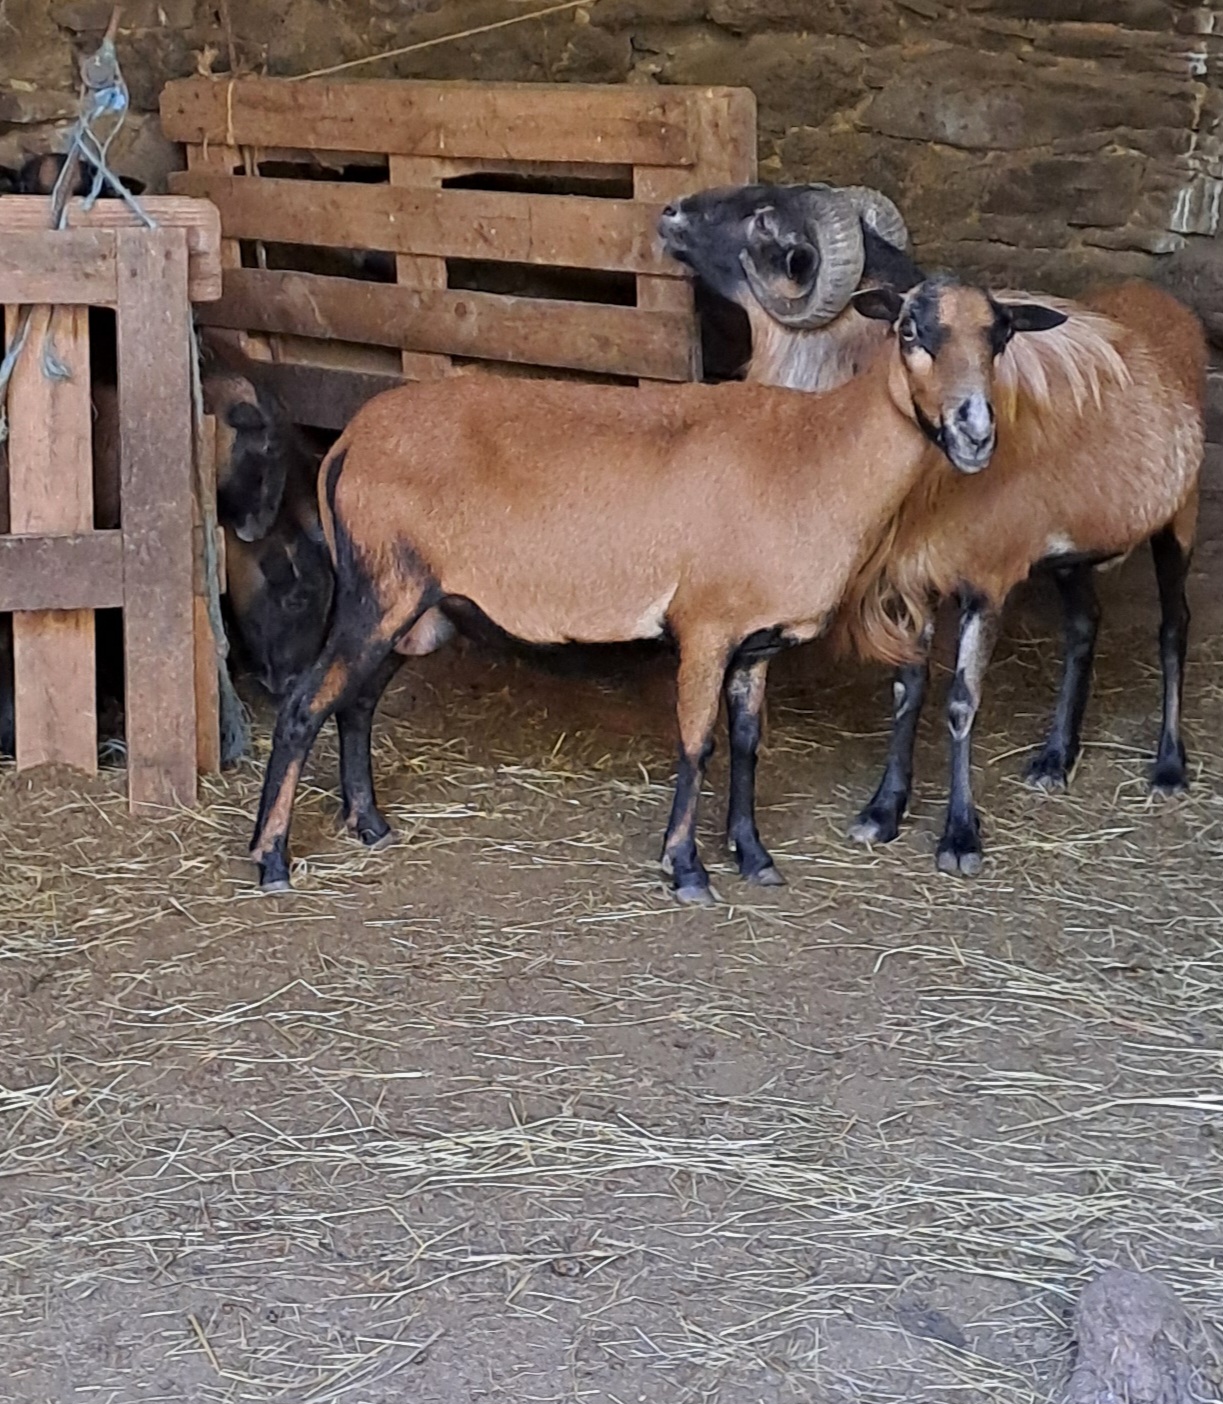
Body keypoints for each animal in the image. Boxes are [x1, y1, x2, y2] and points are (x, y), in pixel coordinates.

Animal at [246, 273, 1068, 900]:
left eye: (1000, 337)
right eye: (908, 330)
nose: (974, 431)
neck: (817, 457)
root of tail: (349, 441)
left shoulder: (756, 641)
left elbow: (748, 744)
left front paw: (754, 858)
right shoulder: (705, 627)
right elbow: (696, 743)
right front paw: (685, 868)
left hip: (415, 608)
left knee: (355, 705)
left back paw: (369, 825)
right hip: (378, 591)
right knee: (303, 706)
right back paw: (271, 858)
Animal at [660, 184, 1206, 875]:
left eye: (764, 222)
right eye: (909, 329)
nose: (669, 213)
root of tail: (1164, 303)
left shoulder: (987, 579)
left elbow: (961, 701)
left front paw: (960, 836)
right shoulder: (912, 573)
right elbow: (908, 689)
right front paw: (883, 811)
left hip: (1180, 517)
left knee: (1173, 627)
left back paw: (1168, 767)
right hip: (1072, 552)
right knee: (1084, 626)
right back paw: (1056, 758)